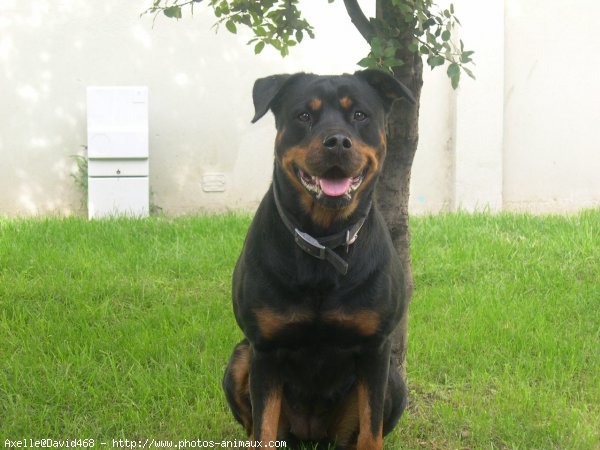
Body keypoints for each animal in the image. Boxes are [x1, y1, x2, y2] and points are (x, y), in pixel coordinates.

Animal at [223, 70, 414, 450]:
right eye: (303, 116)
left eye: (360, 115)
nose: (337, 141)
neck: (324, 240)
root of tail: (311, 435)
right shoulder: (265, 349)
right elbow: (263, 429)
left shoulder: (375, 349)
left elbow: (371, 431)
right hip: (238, 359)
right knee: (252, 426)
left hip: (394, 384)